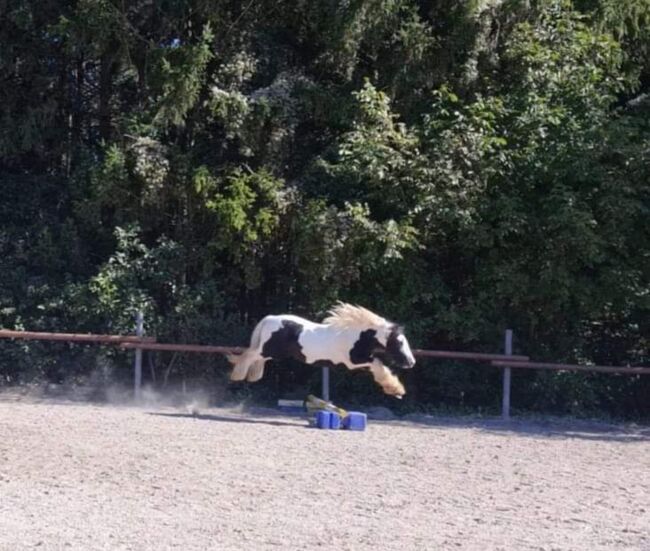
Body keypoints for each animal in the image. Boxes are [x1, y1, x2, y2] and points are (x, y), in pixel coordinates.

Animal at [225, 304, 412, 398]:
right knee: (248, 355)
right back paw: (238, 376)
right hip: (267, 349)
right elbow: (379, 365)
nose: (411, 362)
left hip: (274, 352)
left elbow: (379, 366)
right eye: (399, 342)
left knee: (257, 359)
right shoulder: (353, 362)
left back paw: (252, 377)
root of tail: (270, 318)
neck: (355, 336)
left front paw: (395, 390)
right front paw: (397, 390)